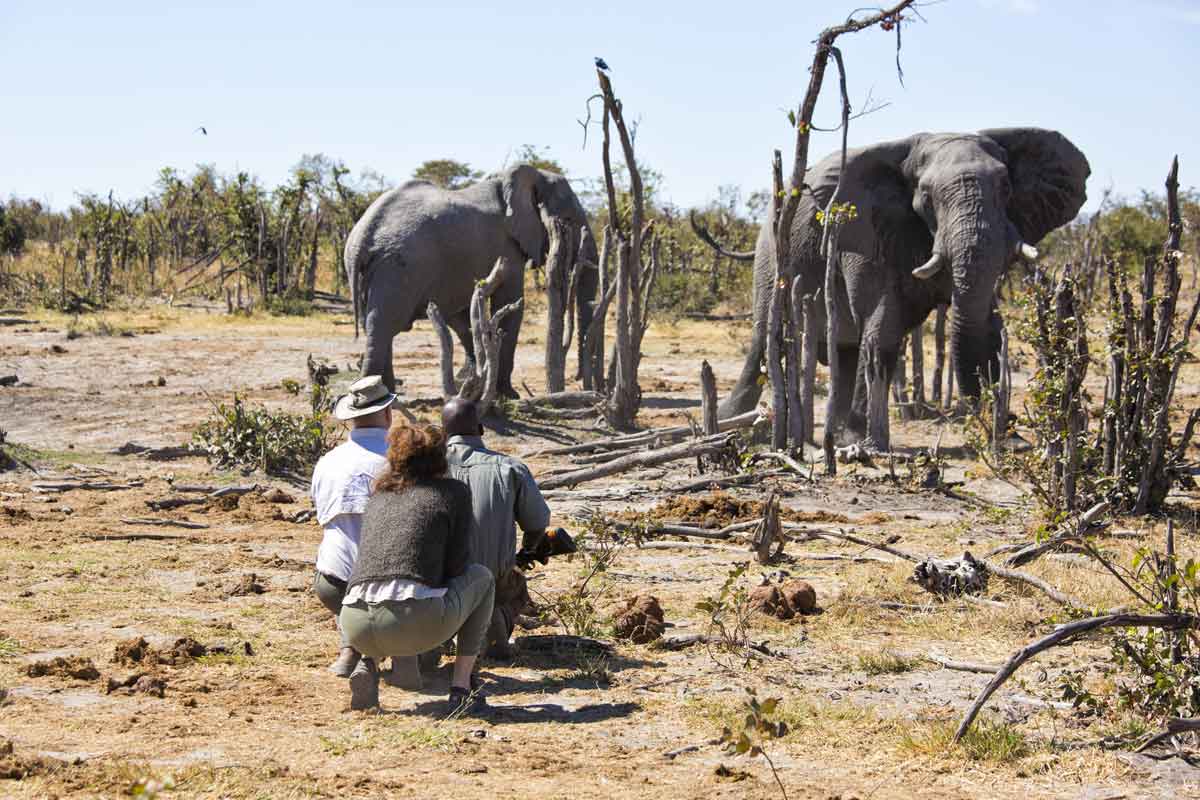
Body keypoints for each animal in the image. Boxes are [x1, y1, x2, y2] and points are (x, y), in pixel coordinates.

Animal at [343, 165, 595, 398]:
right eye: (569, 220)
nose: (578, 379)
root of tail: (363, 234)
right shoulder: (506, 249)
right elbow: (510, 304)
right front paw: (507, 394)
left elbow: (461, 318)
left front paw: (471, 382)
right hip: (398, 268)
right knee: (383, 324)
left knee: (378, 325)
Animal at [715, 128, 1094, 448]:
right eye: (926, 197)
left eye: (1005, 187)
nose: (991, 419)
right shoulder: (863, 228)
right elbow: (880, 323)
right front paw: (861, 442)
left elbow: (986, 325)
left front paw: (1012, 442)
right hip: (771, 252)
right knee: (765, 339)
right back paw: (729, 422)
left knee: (846, 351)